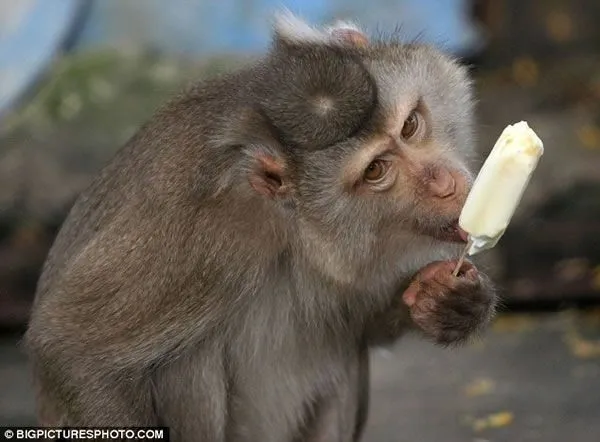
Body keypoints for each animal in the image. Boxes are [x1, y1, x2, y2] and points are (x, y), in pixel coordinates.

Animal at [23, 12, 494, 440]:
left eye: (410, 125)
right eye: (376, 170)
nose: (446, 184)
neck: (291, 222)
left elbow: (363, 324)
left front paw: (451, 303)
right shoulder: (205, 232)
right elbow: (73, 348)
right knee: (185, 364)